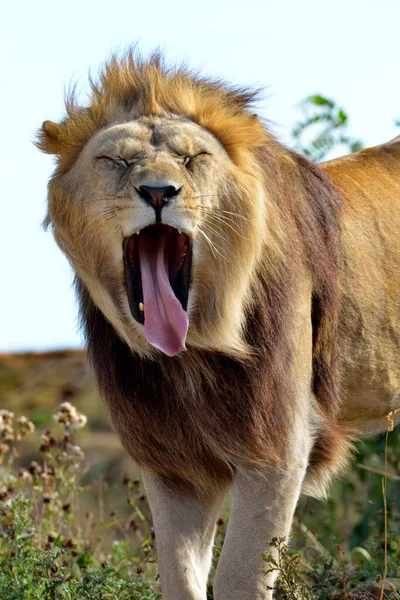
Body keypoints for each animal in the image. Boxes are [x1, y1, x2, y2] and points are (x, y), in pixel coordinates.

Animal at [36, 52, 400, 600]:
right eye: (117, 161)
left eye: (193, 159)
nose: (158, 192)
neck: (191, 353)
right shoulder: (172, 460)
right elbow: (180, 576)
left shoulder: (279, 446)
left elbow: (239, 576)